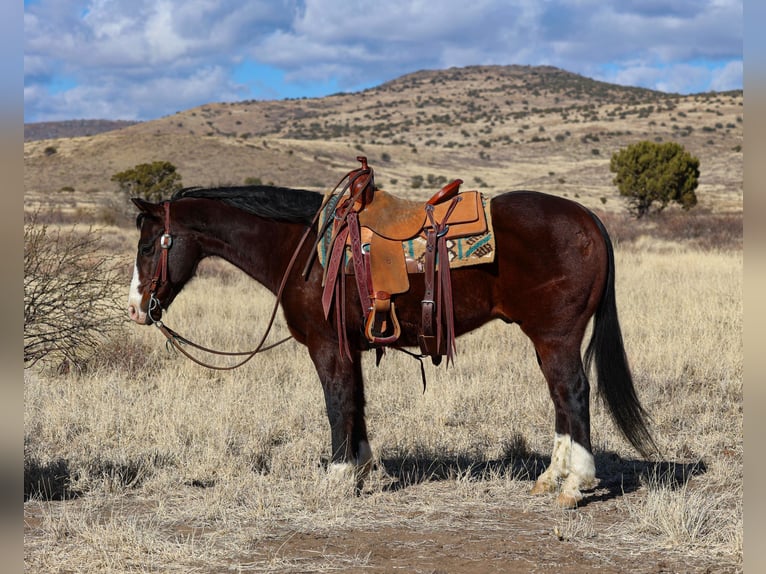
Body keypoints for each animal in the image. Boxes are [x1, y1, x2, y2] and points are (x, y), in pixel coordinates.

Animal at [129, 180, 656, 508]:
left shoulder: (328, 347)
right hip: (548, 339)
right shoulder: (352, 347)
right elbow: (356, 404)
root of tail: (588, 218)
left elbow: (337, 404)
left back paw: (575, 484)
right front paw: (361, 468)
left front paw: (339, 476)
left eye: (149, 245)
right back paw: (550, 479)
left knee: (573, 393)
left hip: (555, 335)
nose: (137, 308)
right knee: (562, 399)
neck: (304, 250)